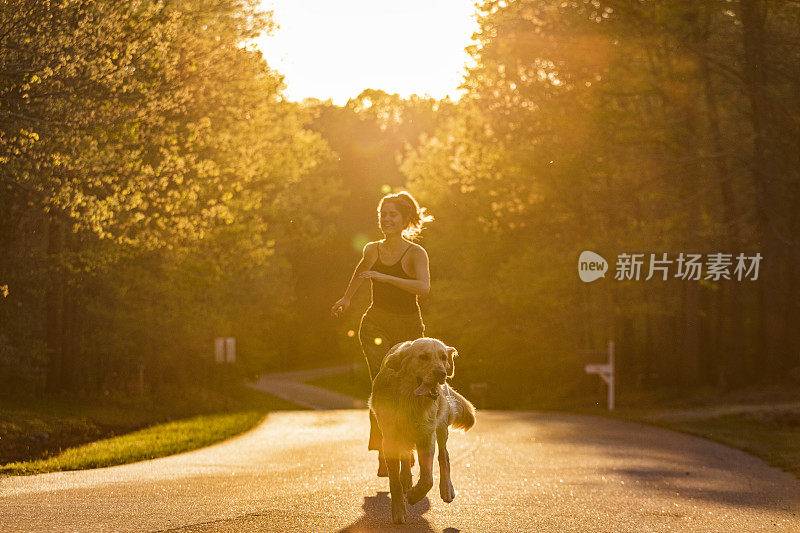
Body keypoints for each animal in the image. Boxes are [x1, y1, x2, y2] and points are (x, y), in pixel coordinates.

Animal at [368, 336, 476, 524]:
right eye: (423, 357)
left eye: (443, 357)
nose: (442, 374)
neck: (410, 398)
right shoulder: (390, 438)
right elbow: (394, 480)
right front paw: (399, 510)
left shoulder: (426, 435)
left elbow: (427, 479)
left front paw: (414, 495)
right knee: (405, 458)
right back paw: (406, 479)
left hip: (441, 426)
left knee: (444, 455)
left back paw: (446, 489)